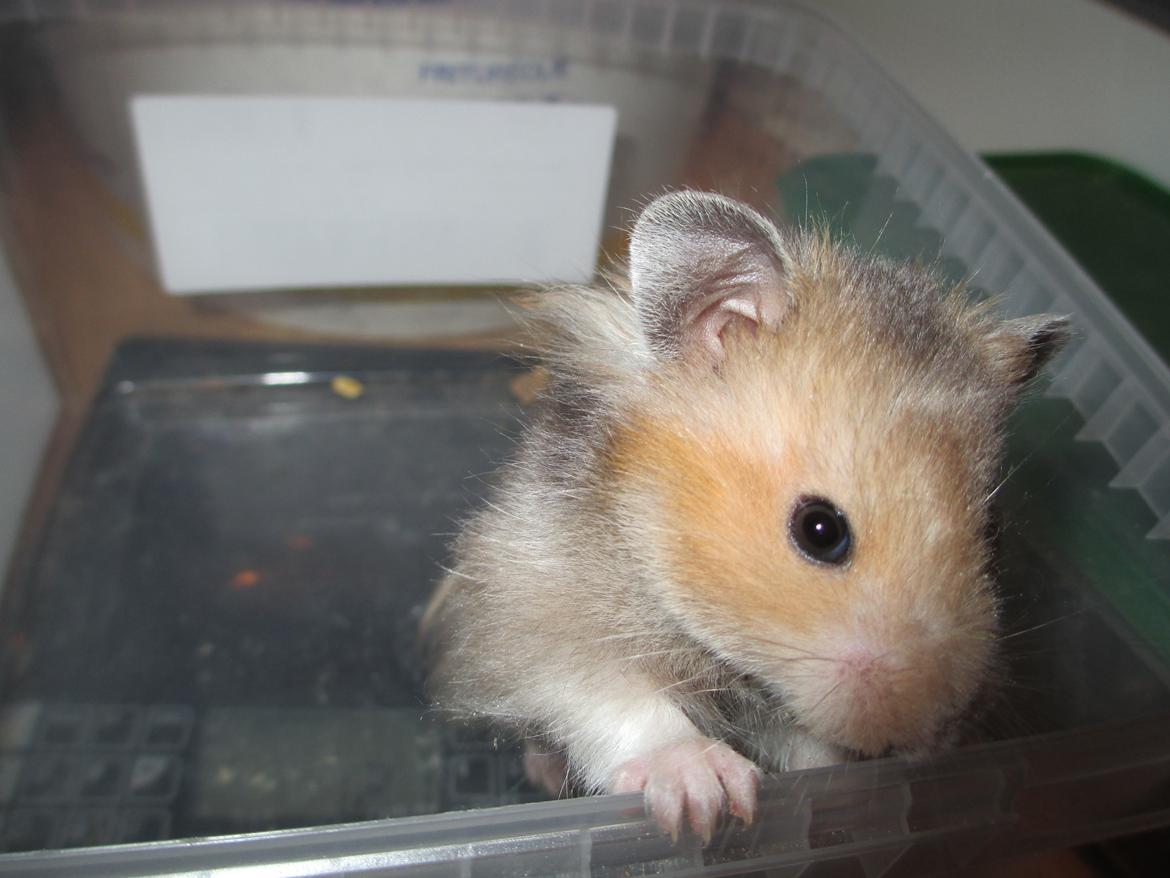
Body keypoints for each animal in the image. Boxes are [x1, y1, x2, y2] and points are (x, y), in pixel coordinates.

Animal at [422, 190, 1069, 842]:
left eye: (994, 534)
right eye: (820, 530)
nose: (928, 733)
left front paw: (854, 798)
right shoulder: (532, 613)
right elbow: (616, 697)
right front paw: (709, 799)